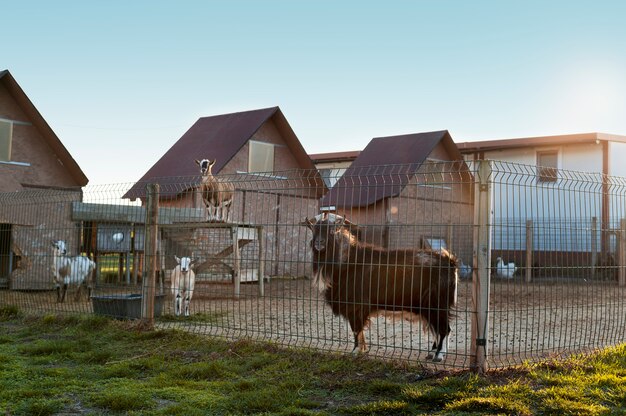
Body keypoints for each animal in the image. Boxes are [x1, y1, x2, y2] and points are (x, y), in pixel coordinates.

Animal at [304, 214, 456, 360]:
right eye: (314, 229)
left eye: (331, 230)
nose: (319, 243)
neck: (347, 261)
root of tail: (449, 262)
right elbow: (358, 331)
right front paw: (362, 350)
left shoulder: (356, 307)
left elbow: (356, 330)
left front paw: (355, 351)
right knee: (438, 330)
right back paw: (432, 353)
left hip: (437, 304)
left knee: (444, 329)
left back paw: (439, 355)